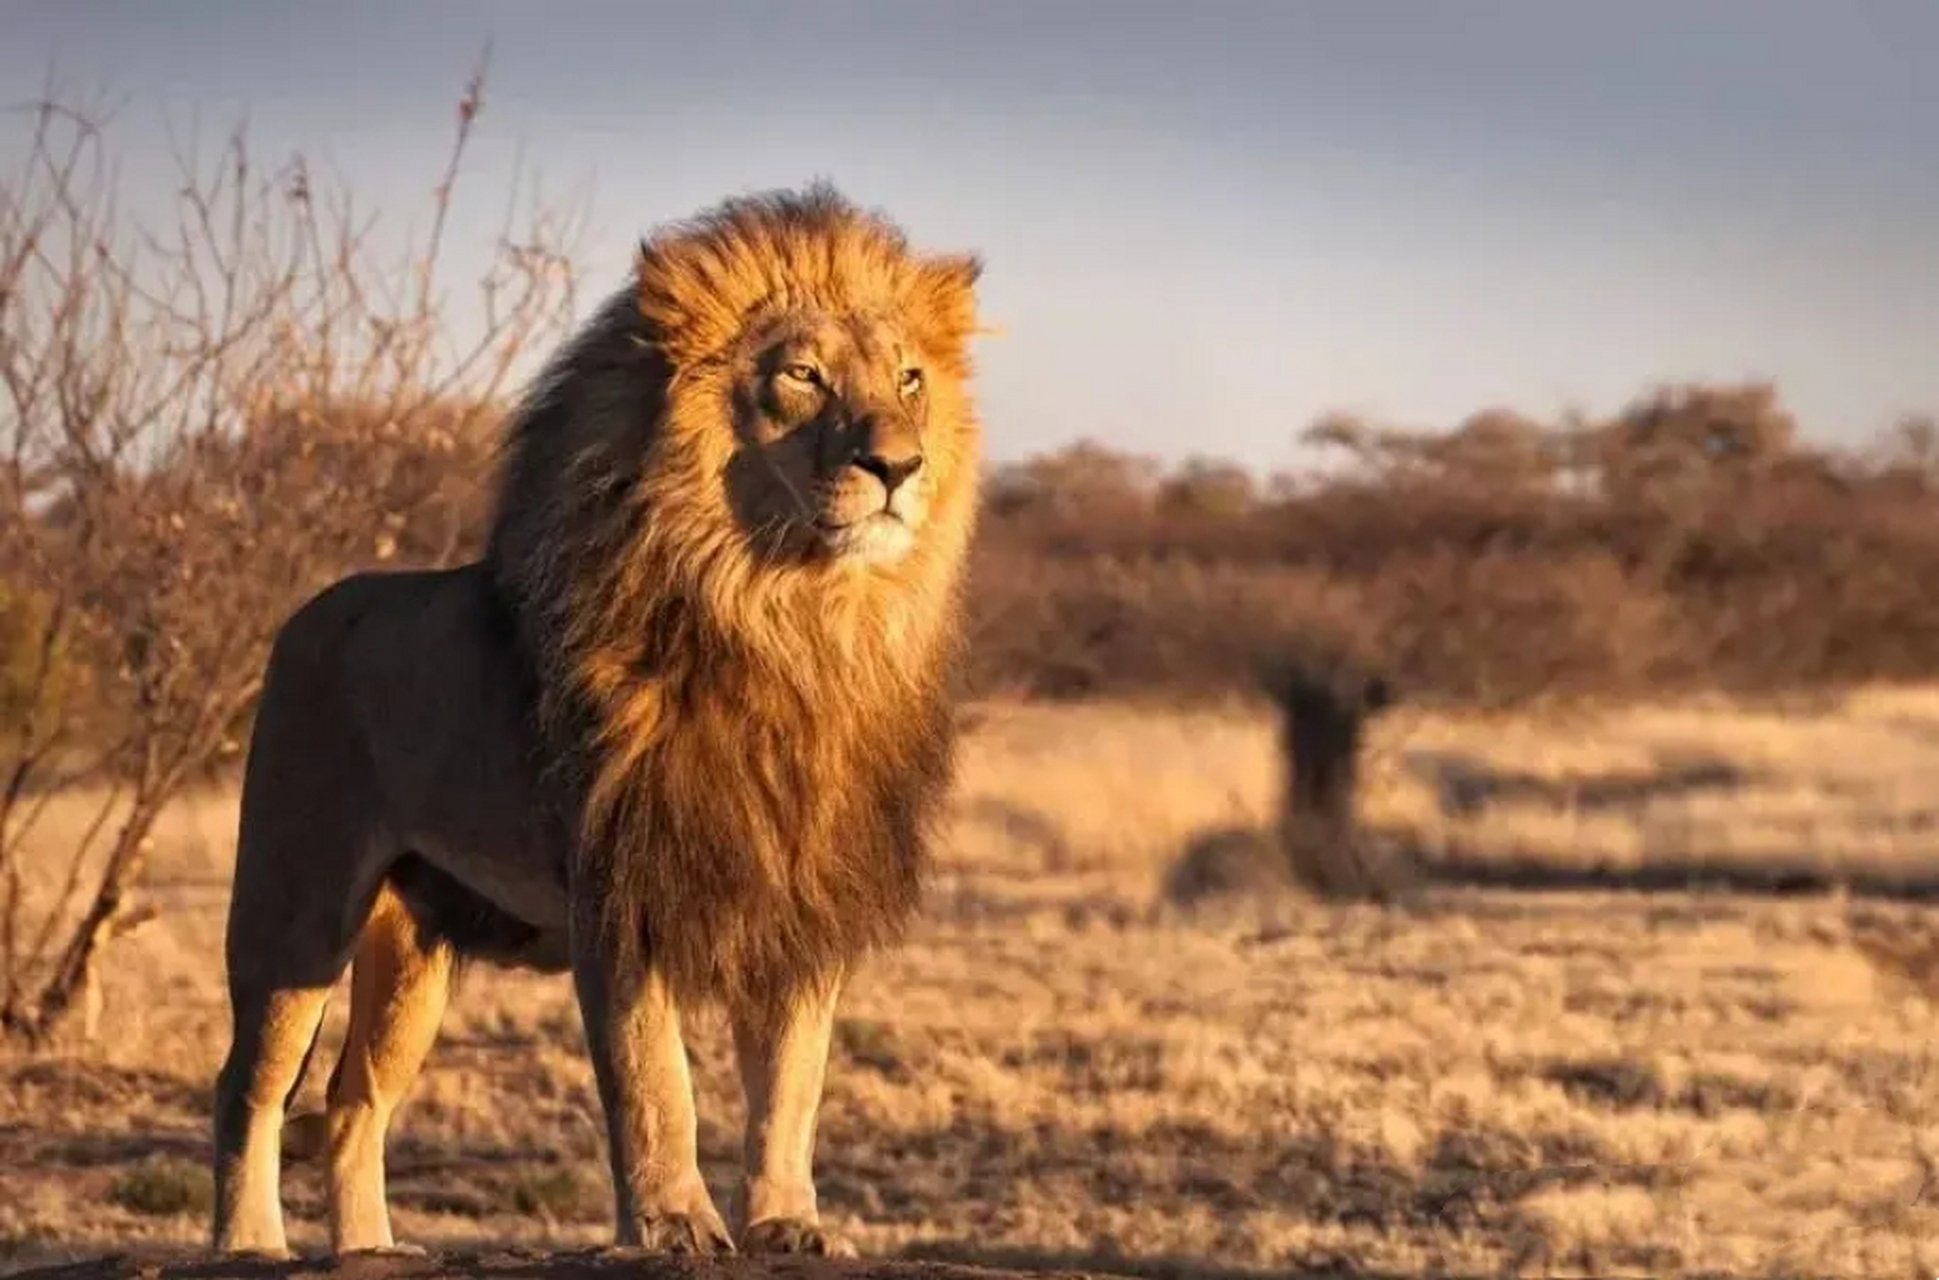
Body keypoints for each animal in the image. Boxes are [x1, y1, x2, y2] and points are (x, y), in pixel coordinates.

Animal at [212, 182, 985, 1256]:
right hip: (297, 906)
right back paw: (249, 1243)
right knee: (249, 1086)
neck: (791, 623)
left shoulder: (801, 897)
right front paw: (673, 1223)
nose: (898, 466)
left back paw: (371, 1250)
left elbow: (792, 1082)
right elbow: (654, 1080)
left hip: (413, 948)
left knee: (353, 1100)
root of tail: (304, 613)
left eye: (910, 379)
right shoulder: (621, 888)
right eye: (801, 375)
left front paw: (787, 1221)